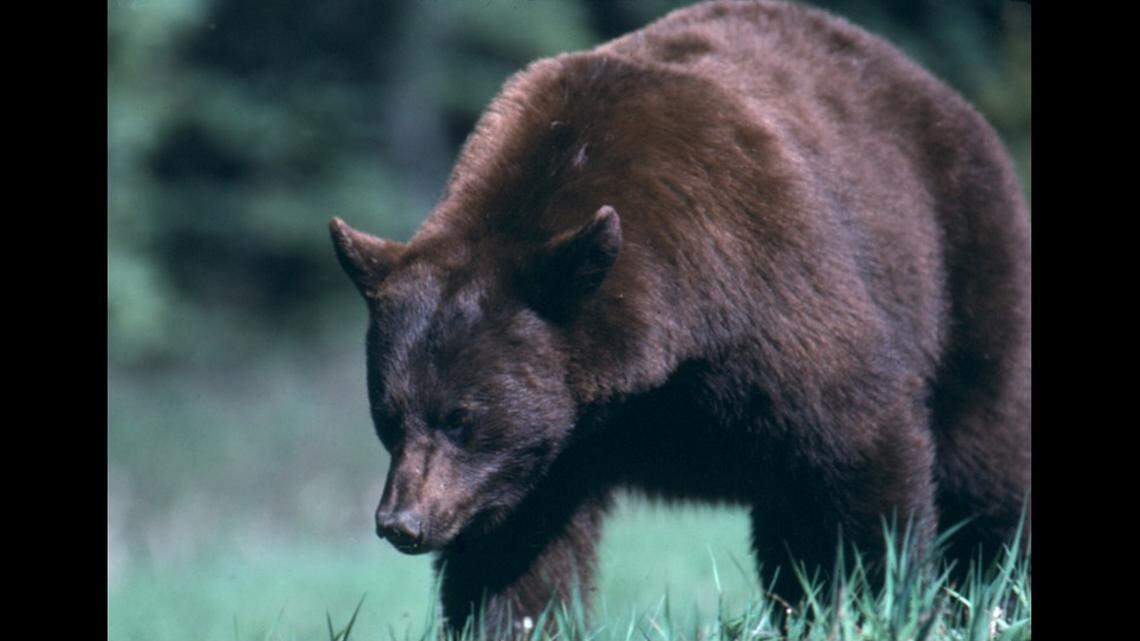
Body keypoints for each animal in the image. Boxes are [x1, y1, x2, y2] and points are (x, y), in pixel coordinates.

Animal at [328, 0, 1029, 635]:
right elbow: (516, 553)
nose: (401, 523)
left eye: (461, 418)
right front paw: (508, 618)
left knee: (985, 452)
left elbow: (859, 448)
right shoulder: (552, 450)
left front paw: (871, 602)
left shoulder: (769, 285)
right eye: (388, 416)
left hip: (965, 262)